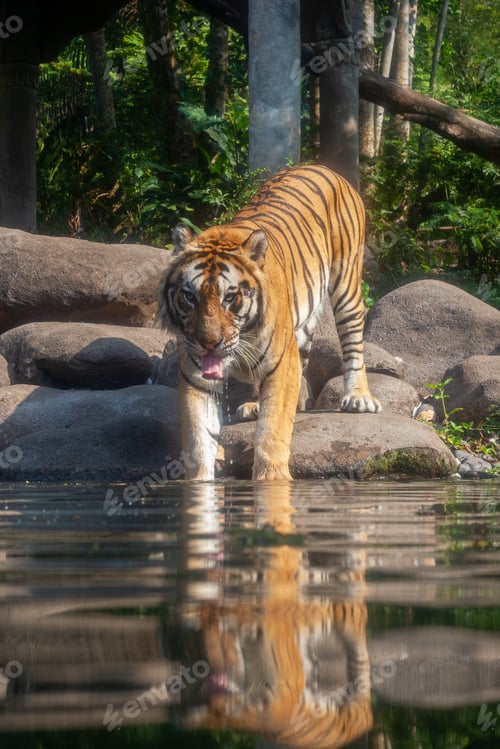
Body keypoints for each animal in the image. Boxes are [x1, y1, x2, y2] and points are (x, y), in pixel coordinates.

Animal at [158, 164, 381, 481]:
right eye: (190, 296)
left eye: (230, 297)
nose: (208, 343)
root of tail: (321, 166)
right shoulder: (195, 376)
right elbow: (199, 440)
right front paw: (199, 483)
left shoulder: (281, 366)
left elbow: (272, 432)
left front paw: (272, 480)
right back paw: (256, 405)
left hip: (347, 283)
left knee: (352, 343)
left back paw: (358, 398)